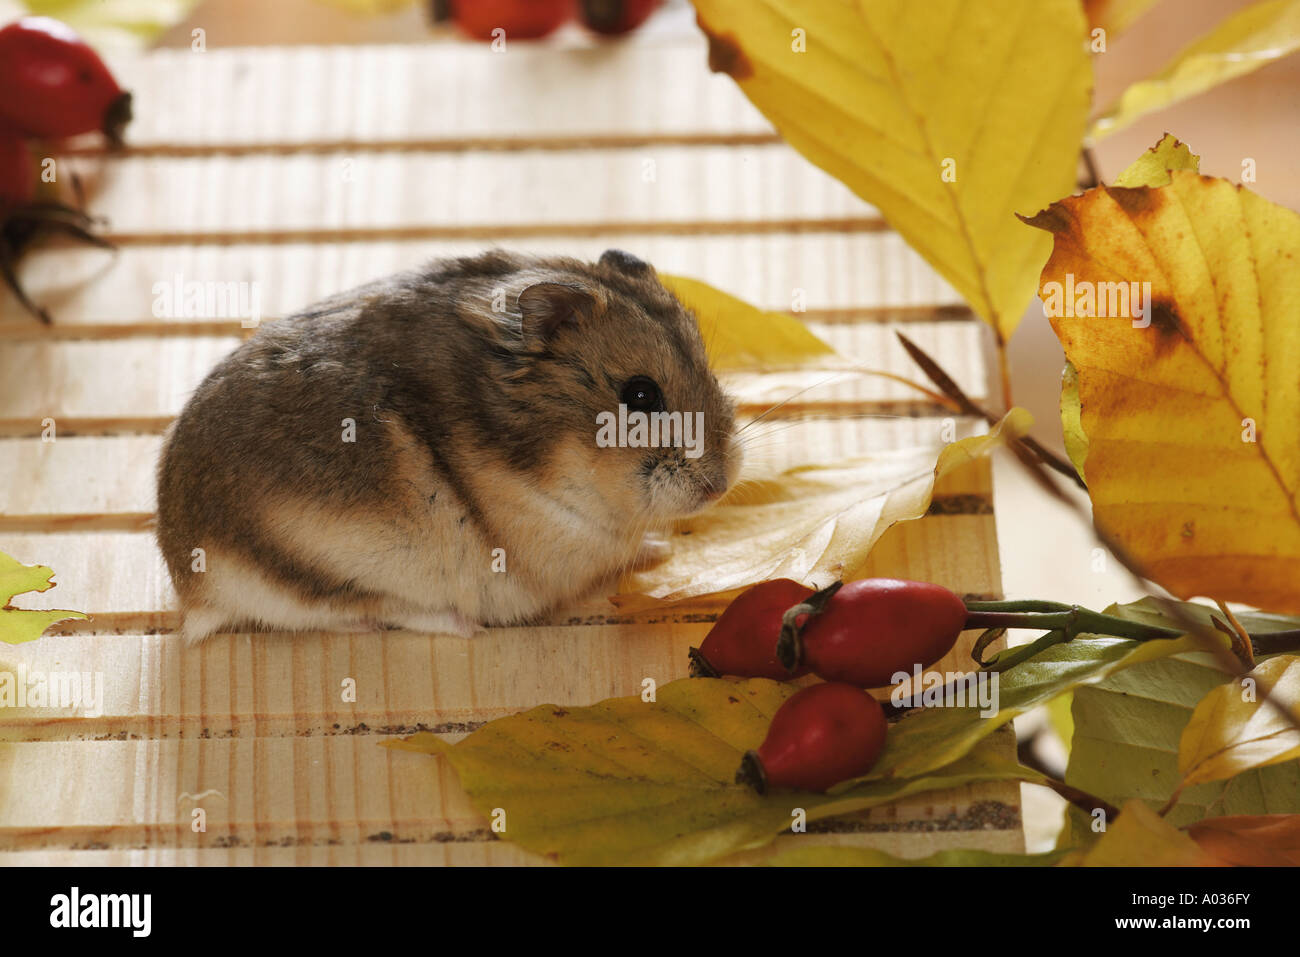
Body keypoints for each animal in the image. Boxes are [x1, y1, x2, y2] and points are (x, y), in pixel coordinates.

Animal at [156, 249, 742, 642]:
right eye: (640, 394)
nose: (721, 486)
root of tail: (190, 584)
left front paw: (660, 547)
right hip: (335, 568)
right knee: (369, 611)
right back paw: (464, 627)